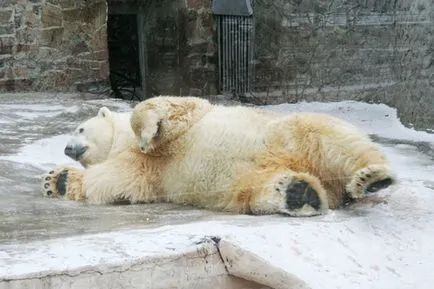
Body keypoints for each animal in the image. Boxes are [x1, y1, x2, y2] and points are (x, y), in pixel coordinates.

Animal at [42, 95, 396, 215]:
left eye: (80, 129)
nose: (67, 148)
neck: (122, 143)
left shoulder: (189, 116)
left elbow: (164, 109)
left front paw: (146, 132)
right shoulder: (147, 171)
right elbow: (116, 180)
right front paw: (57, 180)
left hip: (287, 133)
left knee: (330, 137)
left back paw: (372, 177)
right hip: (252, 179)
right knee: (258, 191)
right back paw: (299, 193)